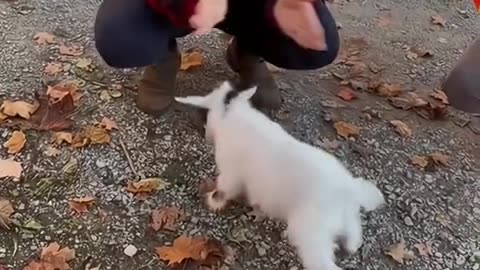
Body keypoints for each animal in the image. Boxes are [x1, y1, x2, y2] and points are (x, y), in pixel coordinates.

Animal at [174, 81, 384, 270]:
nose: (207, 136)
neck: (233, 113)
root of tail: (348, 189)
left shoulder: (230, 174)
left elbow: (224, 189)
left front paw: (213, 201)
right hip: (346, 216)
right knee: (354, 232)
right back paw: (351, 245)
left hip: (311, 233)